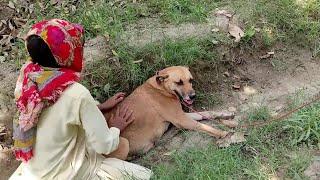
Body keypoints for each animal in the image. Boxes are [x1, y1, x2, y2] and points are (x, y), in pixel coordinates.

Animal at [104, 67, 235, 160]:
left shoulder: (181, 115)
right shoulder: (182, 120)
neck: (161, 88)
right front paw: (222, 133)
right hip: (124, 143)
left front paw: (225, 114)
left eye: (190, 80)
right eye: (179, 82)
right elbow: (204, 126)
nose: (193, 96)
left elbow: (207, 113)